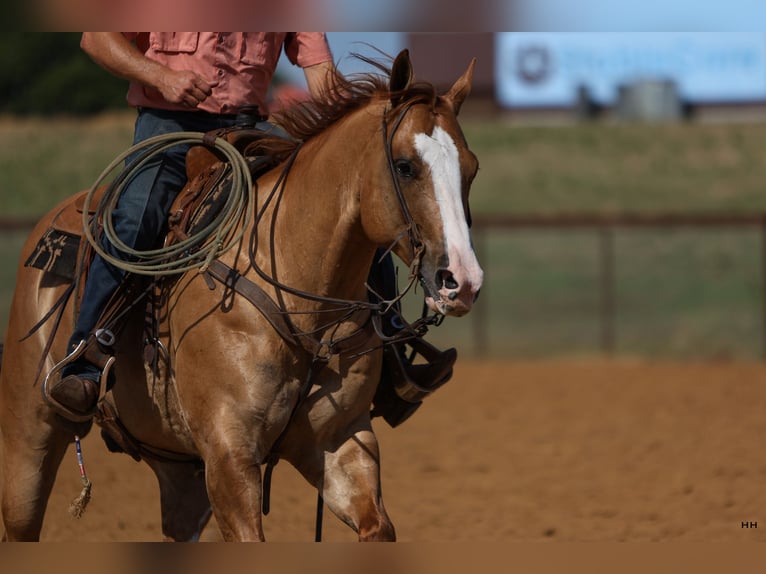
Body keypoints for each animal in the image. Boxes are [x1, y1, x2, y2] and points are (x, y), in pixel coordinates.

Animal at [0, 50, 484, 544]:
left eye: (471, 169)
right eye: (405, 166)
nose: (461, 280)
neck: (299, 308)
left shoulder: (343, 443)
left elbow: (377, 526)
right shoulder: (229, 458)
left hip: (180, 473)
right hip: (28, 442)